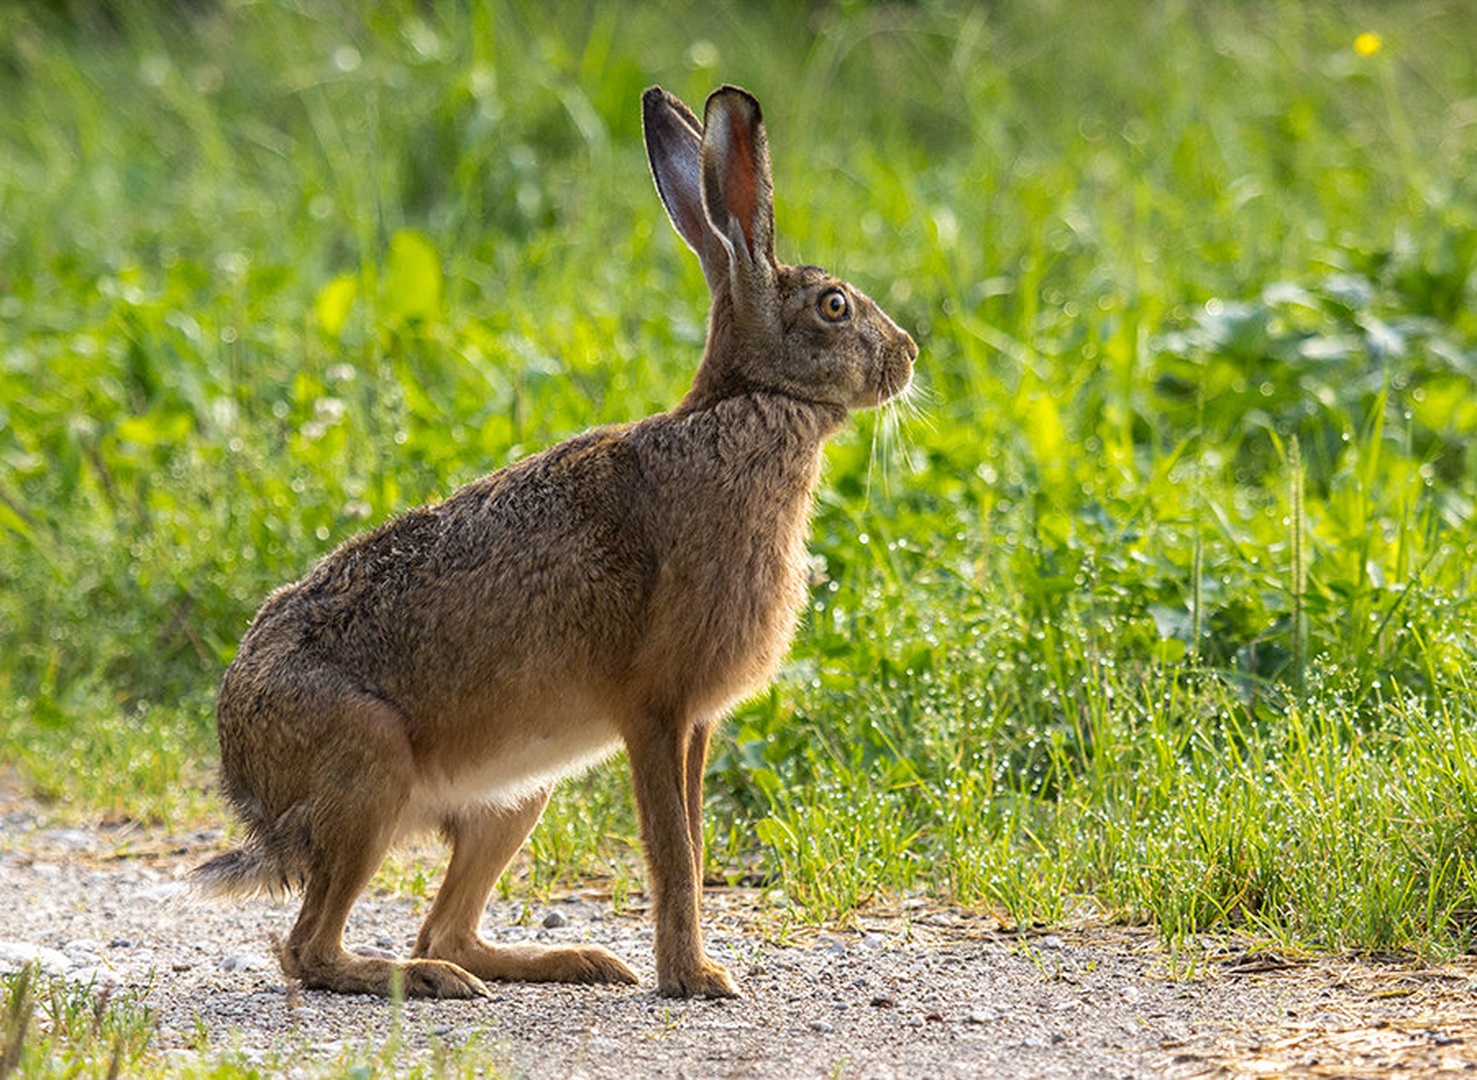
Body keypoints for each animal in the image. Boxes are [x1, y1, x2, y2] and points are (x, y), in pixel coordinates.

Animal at [193, 84, 917, 1001]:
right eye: (833, 306)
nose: (908, 355)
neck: (749, 404)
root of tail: (247, 776)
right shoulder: (656, 710)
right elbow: (674, 852)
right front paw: (694, 978)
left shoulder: (695, 723)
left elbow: (695, 846)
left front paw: (686, 969)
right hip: (368, 771)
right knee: (310, 948)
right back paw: (421, 978)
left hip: (512, 799)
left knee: (448, 927)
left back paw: (571, 961)